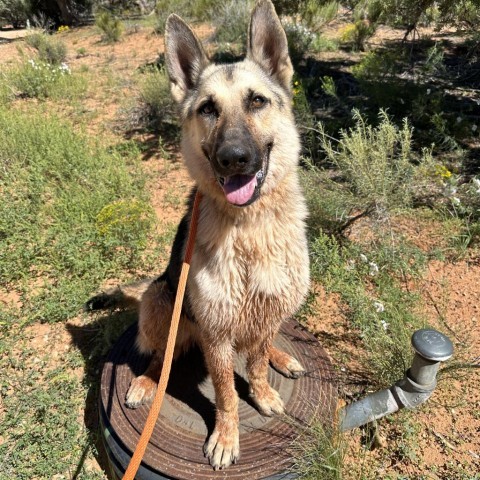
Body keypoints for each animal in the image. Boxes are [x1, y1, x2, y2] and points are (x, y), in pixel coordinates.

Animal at [88, 0, 310, 470]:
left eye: (257, 101)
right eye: (208, 109)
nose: (234, 158)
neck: (249, 228)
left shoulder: (264, 309)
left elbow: (256, 363)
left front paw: (263, 390)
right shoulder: (218, 334)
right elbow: (225, 392)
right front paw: (227, 435)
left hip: (277, 304)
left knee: (263, 342)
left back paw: (282, 356)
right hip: (161, 300)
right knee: (161, 356)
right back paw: (146, 381)